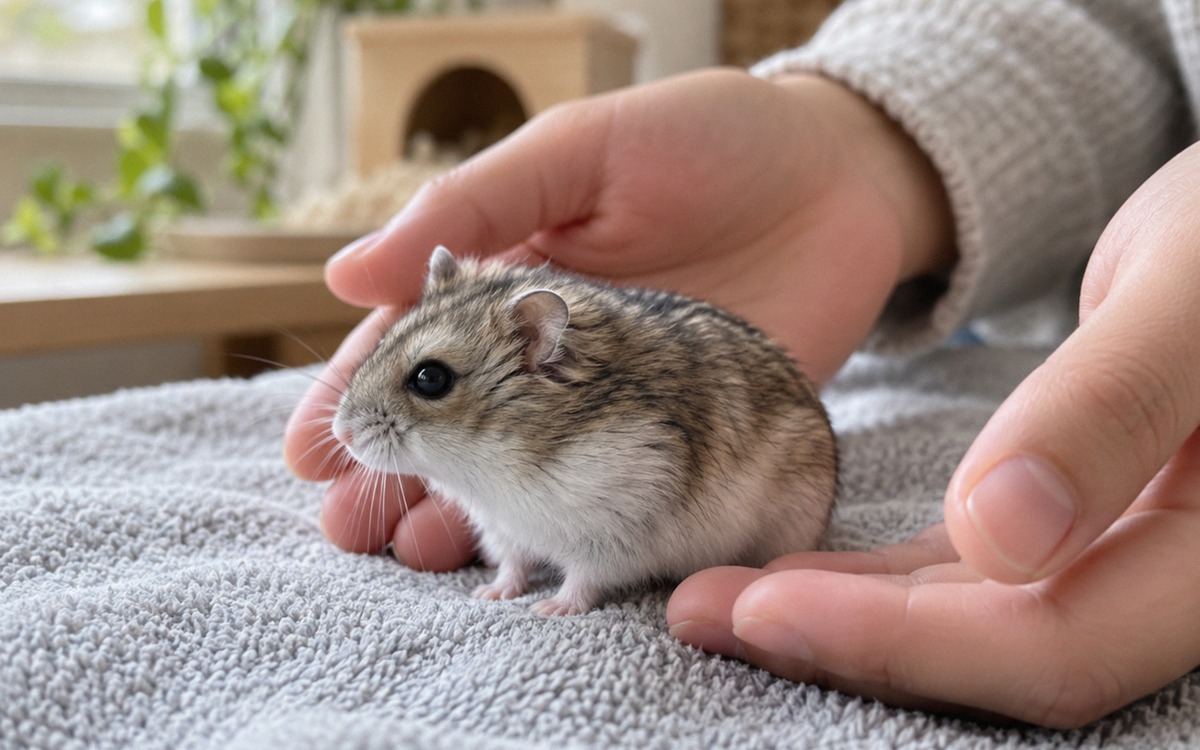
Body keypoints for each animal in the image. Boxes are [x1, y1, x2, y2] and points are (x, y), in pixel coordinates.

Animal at [332, 246, 837, 616]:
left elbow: (583, 579)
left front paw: (550, 610)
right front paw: (489, 594)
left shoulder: (613, 531)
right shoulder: (503, 530)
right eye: (382, 340)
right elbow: (512, 565)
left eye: (430, 378)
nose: (341, 434)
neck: (497, 462)